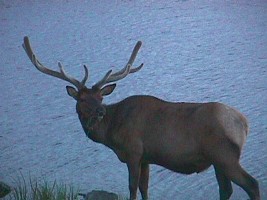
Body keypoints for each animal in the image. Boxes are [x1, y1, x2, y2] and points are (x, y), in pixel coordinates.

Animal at [23, 36, 262, 200]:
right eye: (82, 99)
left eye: (100, 97)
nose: (100, 112)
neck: (111, 134)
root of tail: (244, 123)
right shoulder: (146, 157)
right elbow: (145, 187)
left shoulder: (133, 151)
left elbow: (132, 187)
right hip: (217, 159)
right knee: (226, 189)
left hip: (224, 155)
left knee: (252, 184)